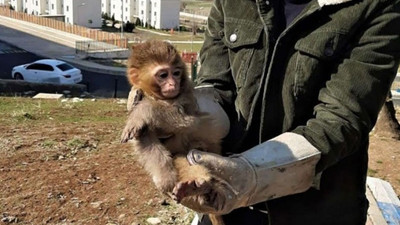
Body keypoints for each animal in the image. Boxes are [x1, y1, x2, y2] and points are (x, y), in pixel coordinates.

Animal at [122, 40, 227, 225]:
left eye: (176, 73)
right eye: (163, 75)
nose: (173, 84)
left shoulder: (186, 96)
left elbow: (184, 120)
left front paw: (142, 112)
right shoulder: (140, 98)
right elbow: (145, 139)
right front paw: (165, 178)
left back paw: (202, 186)